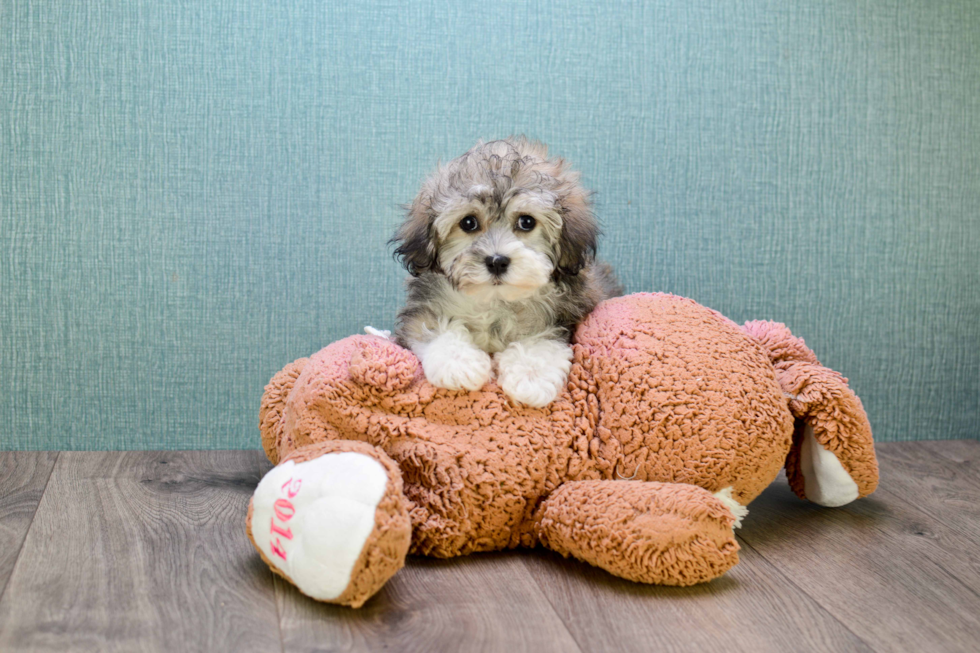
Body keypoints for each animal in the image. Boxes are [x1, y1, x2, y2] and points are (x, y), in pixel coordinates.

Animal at [392, 136, 616, 404]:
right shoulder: (423, 307)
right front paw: (459, 363)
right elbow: (433, 328)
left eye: (526, 222)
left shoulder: (563, 316)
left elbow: (542, 339)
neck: (496, 301)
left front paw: (531, 374)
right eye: (468, 222)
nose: (497, 261)